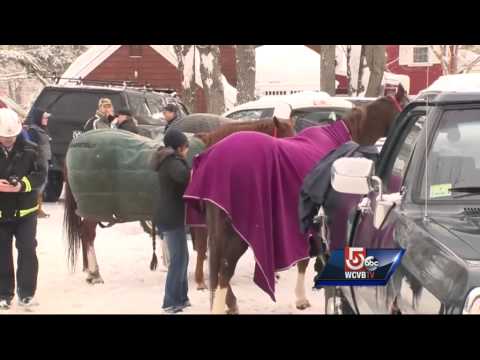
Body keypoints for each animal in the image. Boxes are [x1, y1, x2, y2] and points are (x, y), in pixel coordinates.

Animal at [62, 116, 296, 286]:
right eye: (284, 141)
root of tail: (74, 144)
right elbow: (202, 246)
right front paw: (201, 281)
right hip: (93, 210)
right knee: (88, 236)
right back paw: (95, 273)